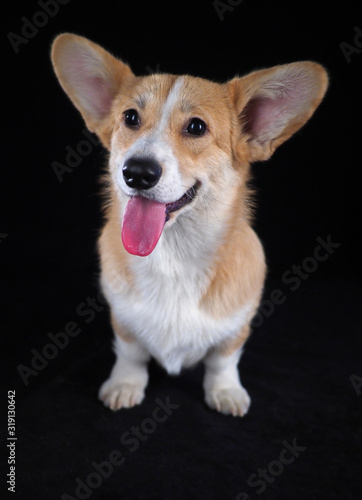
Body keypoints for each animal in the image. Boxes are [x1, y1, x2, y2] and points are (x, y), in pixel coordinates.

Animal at [51, 35, 328, 416]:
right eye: (130, 117)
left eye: (196, 127)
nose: (137, 172)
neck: (173, 256)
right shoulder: (122, 318)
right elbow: (130, 353)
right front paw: (125, 384)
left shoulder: (237, 325)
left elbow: (223, 360)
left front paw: (225, 391)